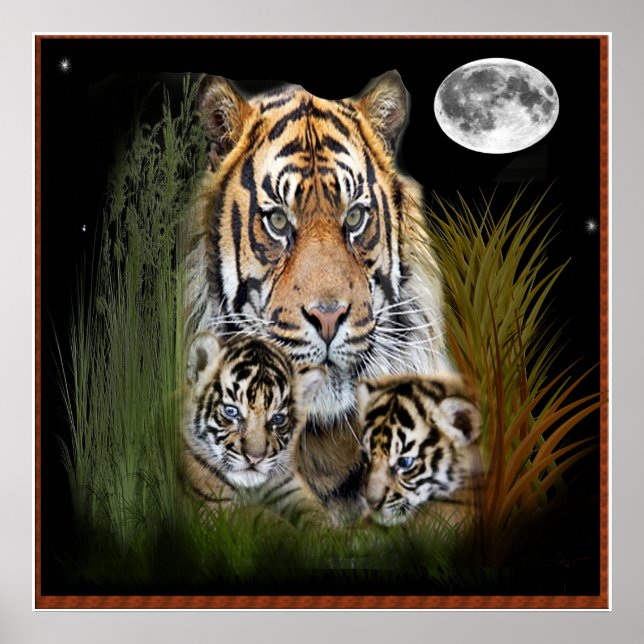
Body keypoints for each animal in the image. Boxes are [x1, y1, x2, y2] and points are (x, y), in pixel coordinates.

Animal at [182, 331, 327, 522]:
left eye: (278, 419)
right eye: (231, 411)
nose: (254, 459)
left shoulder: (290, 486)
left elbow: (318, 516)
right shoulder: (216, 506)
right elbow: (267, 520)